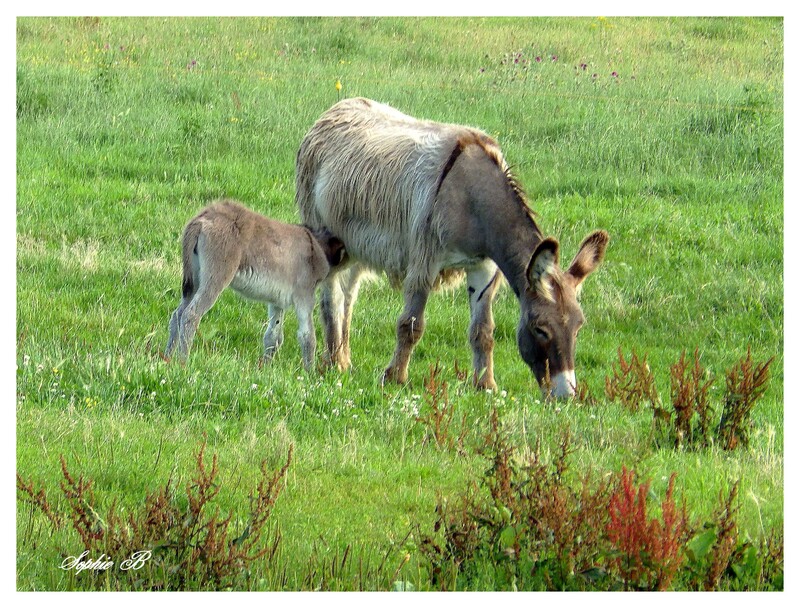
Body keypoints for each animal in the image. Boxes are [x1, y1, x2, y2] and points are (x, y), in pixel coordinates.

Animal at [166, 201, 344, 370]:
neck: (316, 246)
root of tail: (202, 218)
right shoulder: (304, 294)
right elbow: (308, 337)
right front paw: (310, 374)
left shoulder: (278, 301)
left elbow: (273, 336)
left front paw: (265, 370)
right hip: (216, 276)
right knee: (191, 314)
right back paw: (183, 362)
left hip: (195, 278)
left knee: (177, 314)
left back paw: (168, 358)